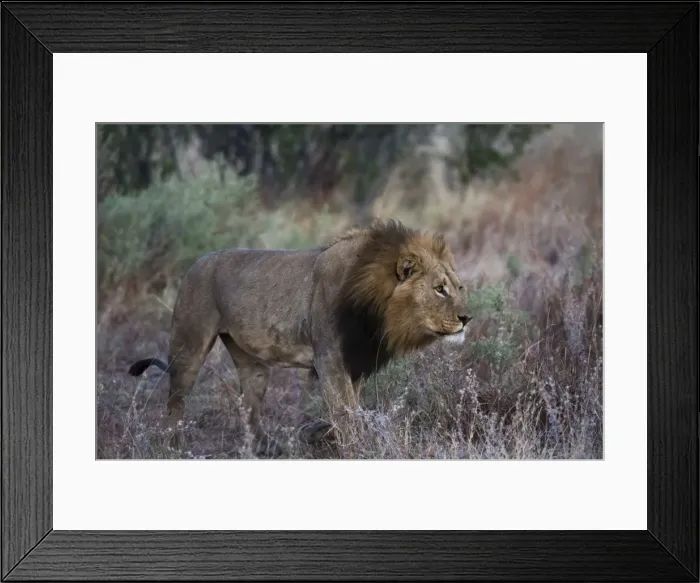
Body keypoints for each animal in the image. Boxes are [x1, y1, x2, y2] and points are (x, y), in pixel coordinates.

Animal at [128, 219, 471, 457]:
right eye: (439, 289)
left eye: (458, 287)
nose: (467, 319)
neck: (375, 308)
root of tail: (195, 263)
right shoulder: (330, 359)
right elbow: (345, 413)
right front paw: (353, 447)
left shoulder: (354, 362)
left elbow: (351, 409)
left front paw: (319, 433)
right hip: (189, 345)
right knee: (176, 400)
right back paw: (172, 447)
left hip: (253, 364)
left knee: (249, 408)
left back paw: (267, 449)